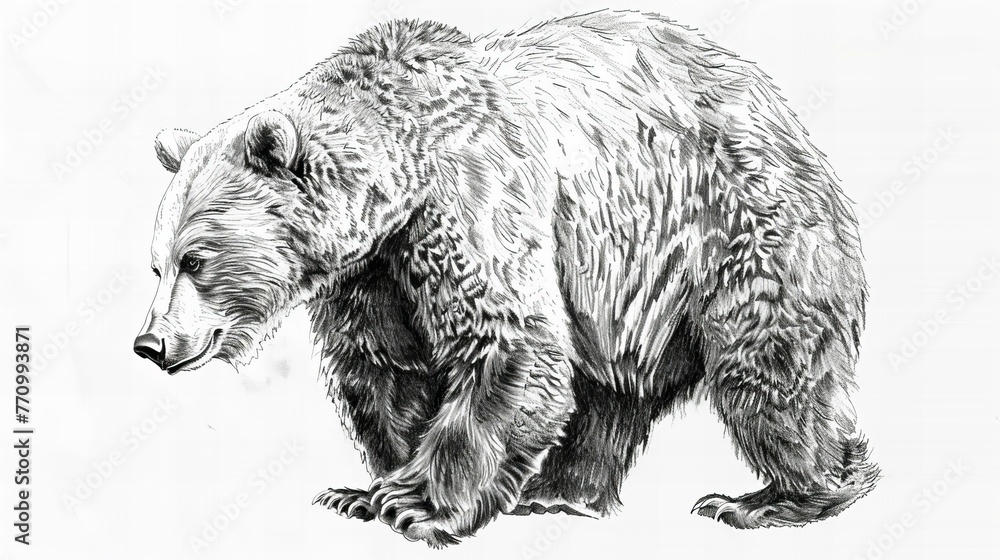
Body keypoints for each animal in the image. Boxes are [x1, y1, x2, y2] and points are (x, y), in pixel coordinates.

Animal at [134, 10, 879, 547]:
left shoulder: (470, 199)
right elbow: (385, 366)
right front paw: (363, 492)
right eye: (157, 262)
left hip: (736, 226)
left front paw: (414, 504)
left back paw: (778, 496)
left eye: (196, 260)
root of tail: (784, 115)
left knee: (770, 365)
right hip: (622, 290)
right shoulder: (372, 273)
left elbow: (506, 343)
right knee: (606, 392)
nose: (151, 344)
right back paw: (560, 490)